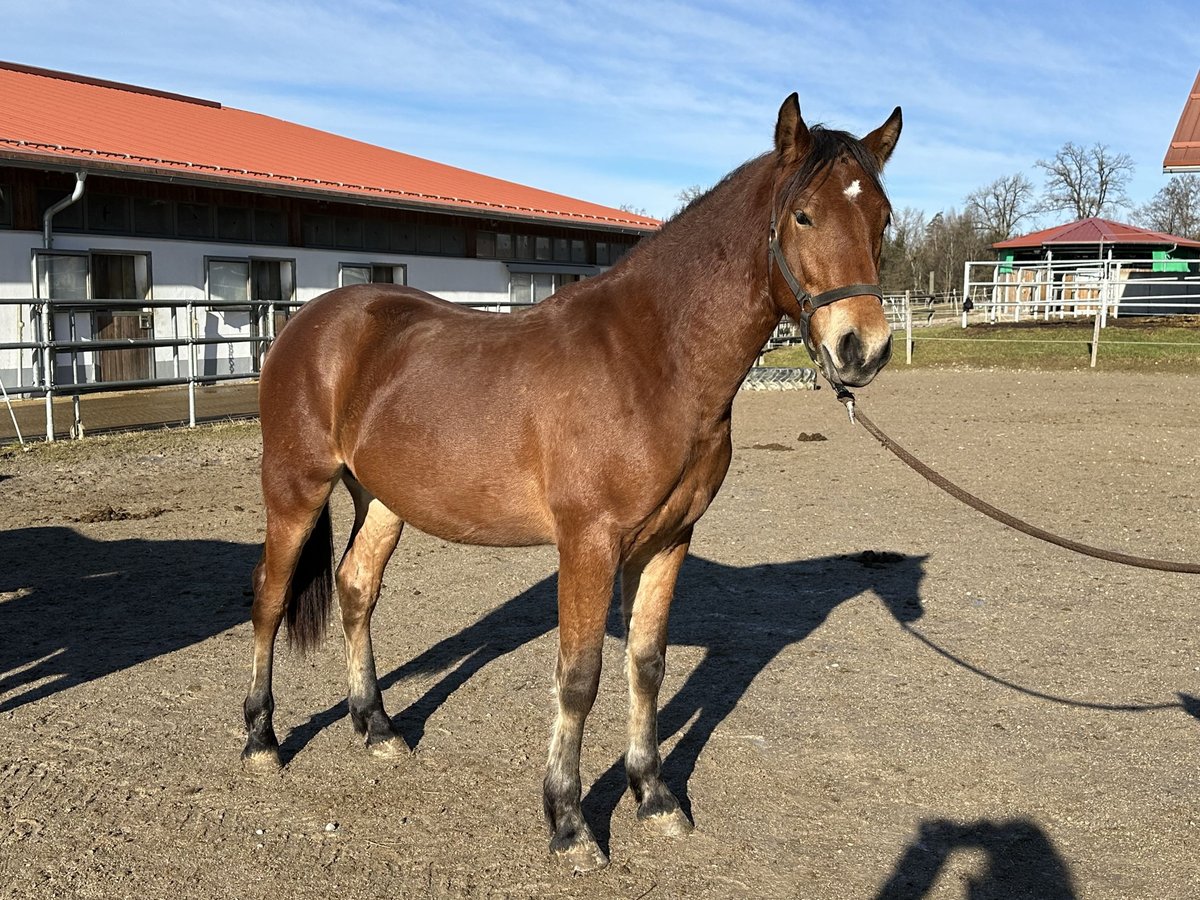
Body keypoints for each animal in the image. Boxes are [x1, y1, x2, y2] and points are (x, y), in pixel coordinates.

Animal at [243, 97, 902, 873]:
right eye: (803, 215)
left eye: (883, 217)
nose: (862, 348)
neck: (652, 360)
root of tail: (308, 323)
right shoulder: (589, 542)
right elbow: (580, 676)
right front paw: (569, 822)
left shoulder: (668, 541)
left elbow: (646, 665)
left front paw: (654, 796)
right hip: (295, 489)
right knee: (269, 599)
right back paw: (261, 740)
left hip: (381, 499)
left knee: (355, 589)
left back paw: (376, 727)